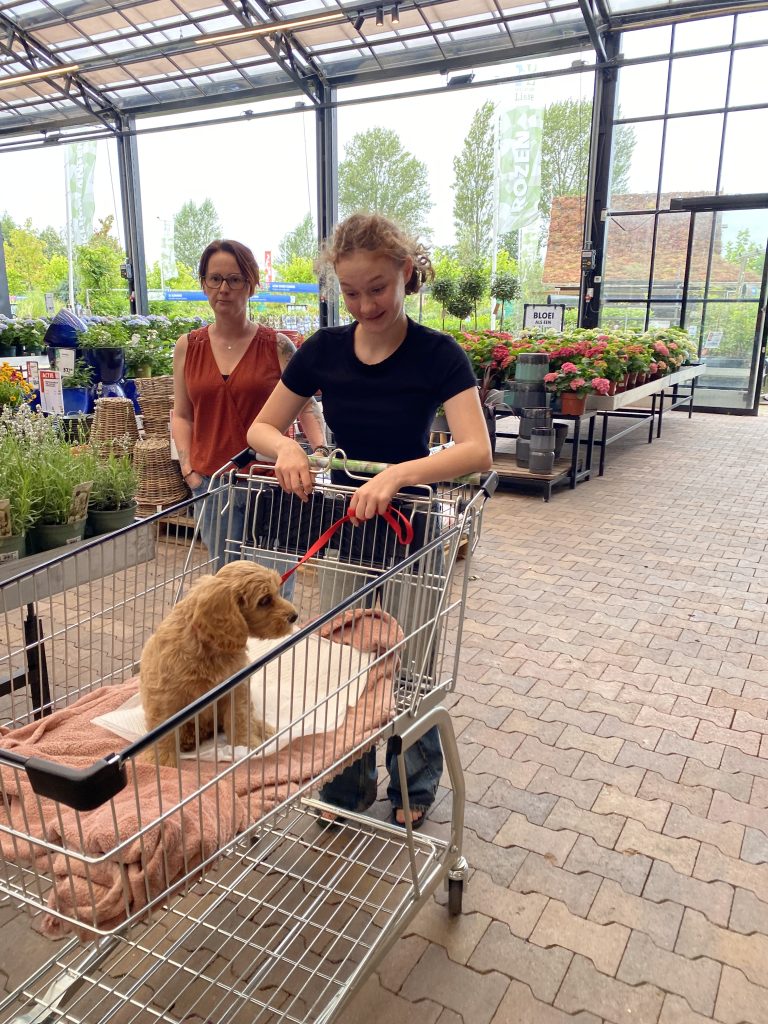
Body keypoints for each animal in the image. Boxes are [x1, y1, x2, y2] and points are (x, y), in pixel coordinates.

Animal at [140, 561, 299, 770]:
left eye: (278, 592)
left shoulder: (237, 689)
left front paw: (246, 747)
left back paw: (264, 729)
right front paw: (163, 762)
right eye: (265, 600)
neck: (209, 647)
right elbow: (163, 732)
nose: (294, 616)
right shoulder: (164, 696)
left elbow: (240, 720)